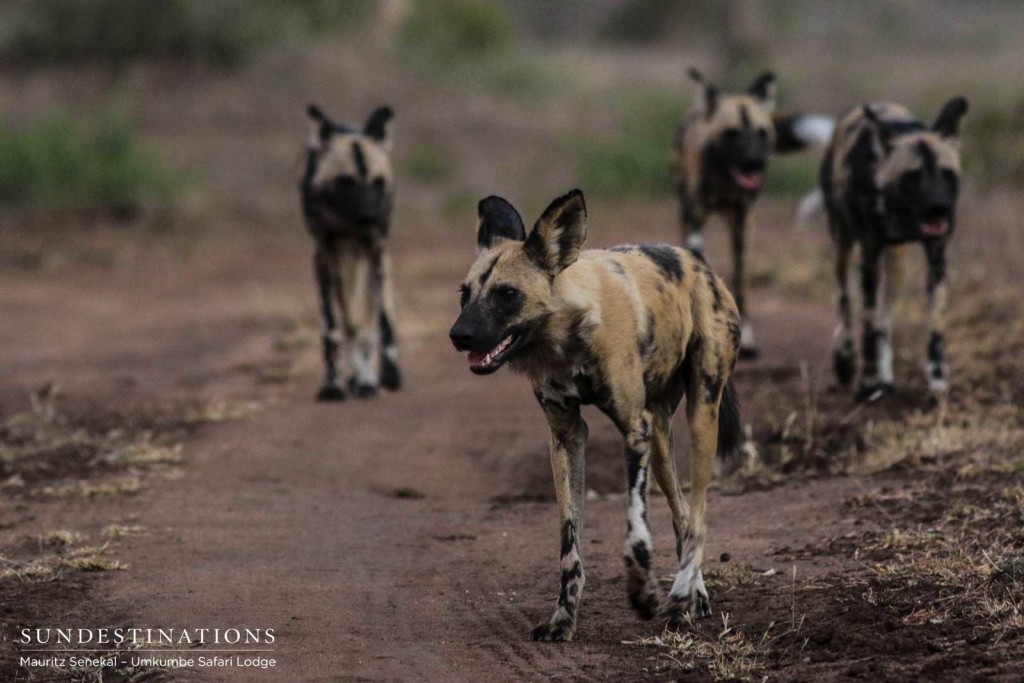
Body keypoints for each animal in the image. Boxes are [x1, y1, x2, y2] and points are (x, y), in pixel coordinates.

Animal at [299, 102, 399, 401]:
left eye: (378, 182)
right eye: (346, 182)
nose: (369, 216)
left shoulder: (376, 251)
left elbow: (382, 323)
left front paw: (384, 377)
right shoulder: (324, 256)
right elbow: (332, 330)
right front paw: (333, 386)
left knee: (364, 323)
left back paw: (366, 378)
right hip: (343, 266)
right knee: (349, 323)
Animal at [450, 188, 745, 643]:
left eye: (507, 294)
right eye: (465, 294)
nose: (458, 335)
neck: (566, 337)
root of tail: (702, 266)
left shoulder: (633, 430)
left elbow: (636, 532)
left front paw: (642, 594)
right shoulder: (568, 436)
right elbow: (569, 543)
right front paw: (562, 619)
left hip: (700, 416)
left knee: (697, 517)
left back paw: (680, 599)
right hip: (662, 440)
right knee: (680, 513)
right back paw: (692, 597)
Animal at [671, 67, 831, 360]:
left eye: (762, 133)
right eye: (731, 133)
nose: (754, 162)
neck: (724, 178)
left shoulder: (743, 224)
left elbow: (741, 284)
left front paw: (747, 341)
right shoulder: (695, 218)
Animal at [815, 94, 966, 401]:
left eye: (947, 173)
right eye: (913, 176)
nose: (939, 209)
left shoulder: (937, 258)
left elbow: (935, 326)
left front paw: (937, 379)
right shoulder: (869, 258)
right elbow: (868, 326)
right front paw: (868, 383)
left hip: (897, 267)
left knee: (885, 318)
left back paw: (886, 377)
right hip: (843, 247)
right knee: (846, 301)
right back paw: (847, 361)